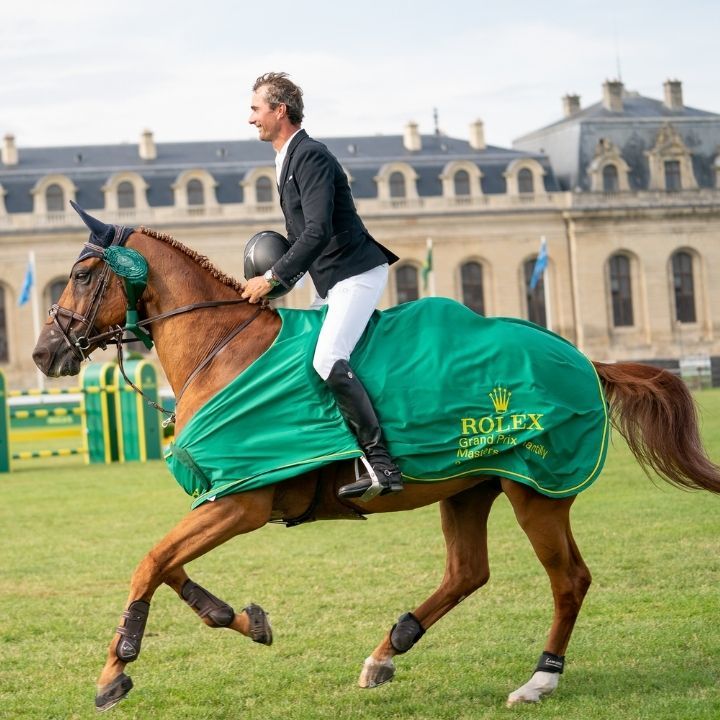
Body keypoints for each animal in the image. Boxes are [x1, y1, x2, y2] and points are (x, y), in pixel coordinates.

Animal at [31, 211, 720, 712]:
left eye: (83, 274)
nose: (43, 353)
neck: (222, 349)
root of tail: (579, 356)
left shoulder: (241, 502)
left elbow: (149, 563)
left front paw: (114, 670)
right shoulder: (223, 498)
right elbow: (167, 564)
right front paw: (243, 619)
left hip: (537, 490)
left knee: (569, 580)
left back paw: (538, 680)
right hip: (469, 486)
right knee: (468, 573)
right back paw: (388, 650)